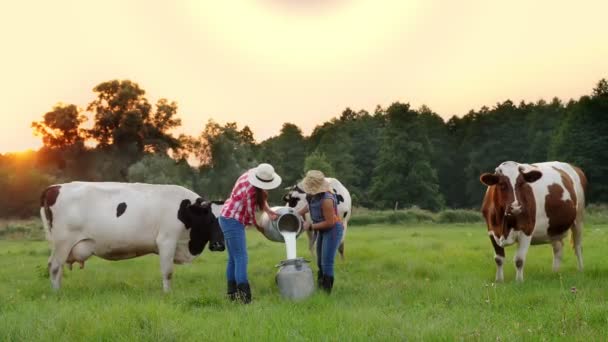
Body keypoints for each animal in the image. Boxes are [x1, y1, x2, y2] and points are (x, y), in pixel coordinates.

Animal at [41, 182, 226, 292]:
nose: (219, 245)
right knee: (55, 266)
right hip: (63, 242)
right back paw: (57, 293)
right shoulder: (167, 240)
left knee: (56, 267)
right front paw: (168, 294)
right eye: (210, 220)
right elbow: (168, 272)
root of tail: (54, 187)